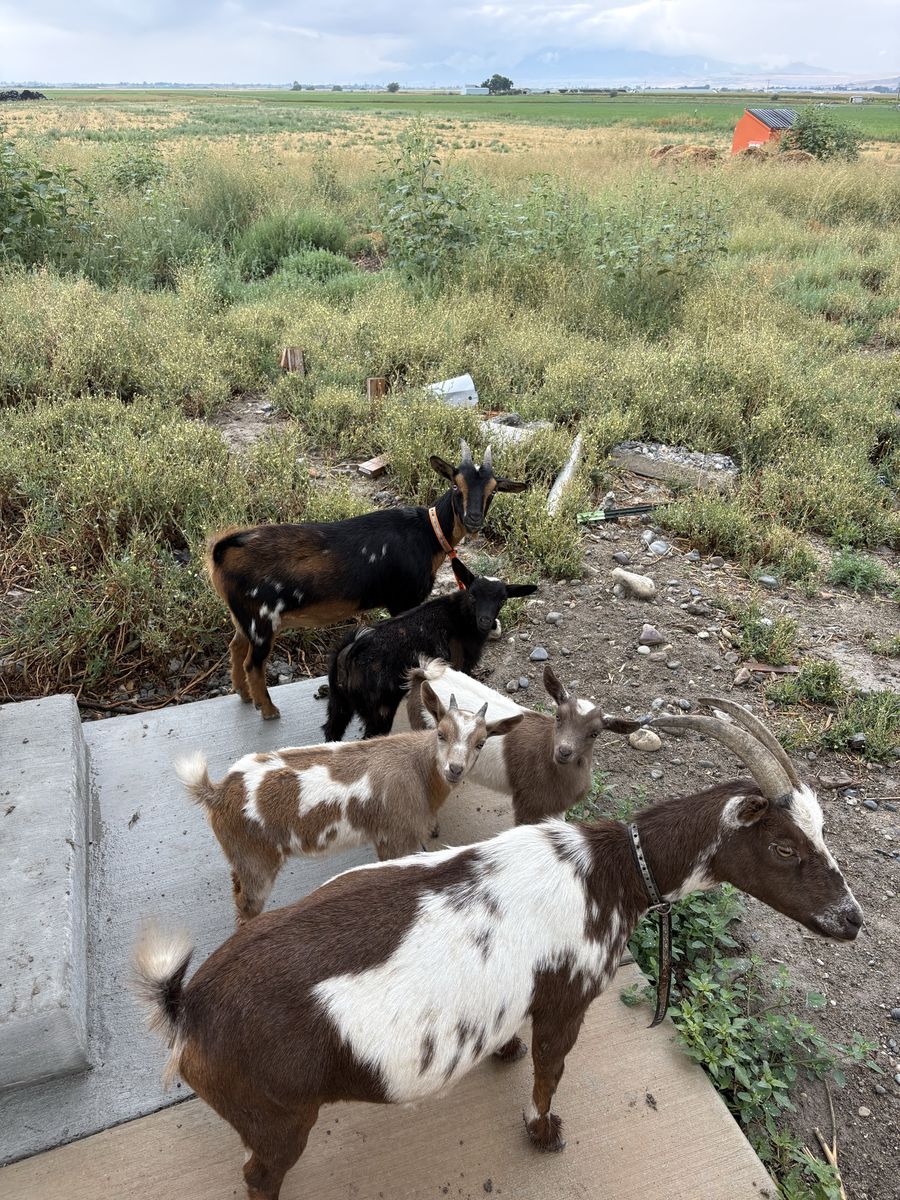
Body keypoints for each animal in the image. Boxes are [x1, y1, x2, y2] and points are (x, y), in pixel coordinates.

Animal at [175, 682, 522, 924]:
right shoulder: (395, 838)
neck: (419, 770)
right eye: (440, 733)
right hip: (257, 861)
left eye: (481, 742)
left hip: (241, 857)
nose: (455, 769)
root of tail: (217, 792)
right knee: (247, 907)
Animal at [208, 441, 526, 720]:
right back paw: (269, 710)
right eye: (455, 485)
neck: (428, 534)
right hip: (262, 619)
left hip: (244, 617)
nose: (473, 519)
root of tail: (221, 552)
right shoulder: (404, 598)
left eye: (493, 491)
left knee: (236, 647)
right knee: (252, 663)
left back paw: (244, 695)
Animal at [323, 559, 538, 741]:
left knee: (331, 730)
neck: (460, 618)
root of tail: (348, 654)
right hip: (379, 710)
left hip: (339, 703)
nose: (485, 621)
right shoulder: (462, 667)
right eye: (472, 595)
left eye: (502, 600)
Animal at [404, 659, 643, 825]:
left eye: (595, 733)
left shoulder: (555, 808)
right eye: (558, 717)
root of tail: (423, 675)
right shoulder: (528, 804)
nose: (564, 751)